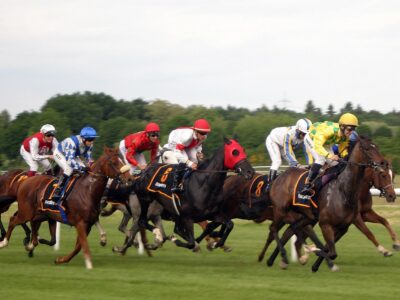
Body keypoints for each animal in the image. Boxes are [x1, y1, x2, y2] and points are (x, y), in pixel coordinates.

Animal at [0, 146, 130, 268]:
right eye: (113, 162)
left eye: (122, 160)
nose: (129, 177)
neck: (88, 190)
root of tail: (24, 182)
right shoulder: (80, 223)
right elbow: (82, 244)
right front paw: (89, 263)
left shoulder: (87, 224)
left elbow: (78, 246)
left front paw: (60, 260)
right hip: (26, 213)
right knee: (13, 220)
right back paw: (4, 242)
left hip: (39, 215)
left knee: (32, 229)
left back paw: (30, 244)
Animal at [117, 138, 253, 253]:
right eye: (235, 152)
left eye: (242, 150)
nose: (250, 171)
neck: (203, 184)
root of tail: (143, 174)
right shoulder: (187, 217)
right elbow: (191, 241)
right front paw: (178, 240)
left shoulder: (214, 213)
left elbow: (228, 224)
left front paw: (217, 243)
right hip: (145, 202)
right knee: (141, 223)